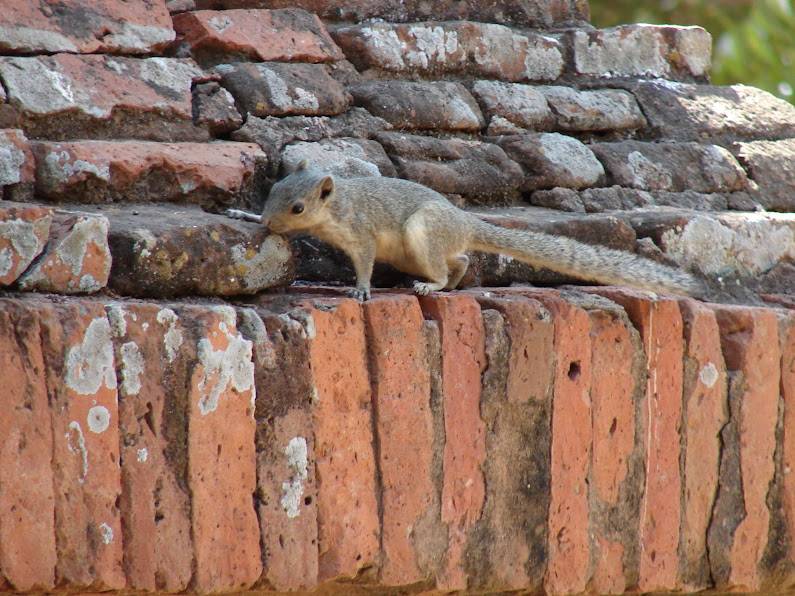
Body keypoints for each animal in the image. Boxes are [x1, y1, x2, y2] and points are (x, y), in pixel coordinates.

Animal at [227, 159, 704, 302]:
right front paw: (245, 216)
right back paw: (449, 281)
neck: (336, 204)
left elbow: (362, 260)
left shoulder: (360, 233)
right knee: (460, 260)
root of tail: (465, 220)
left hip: (422, 232)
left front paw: (361, 289)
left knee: (446, 265)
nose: (269, 222)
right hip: (417, 251)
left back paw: (433, 286)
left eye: (298, 207)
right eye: (271, 193)